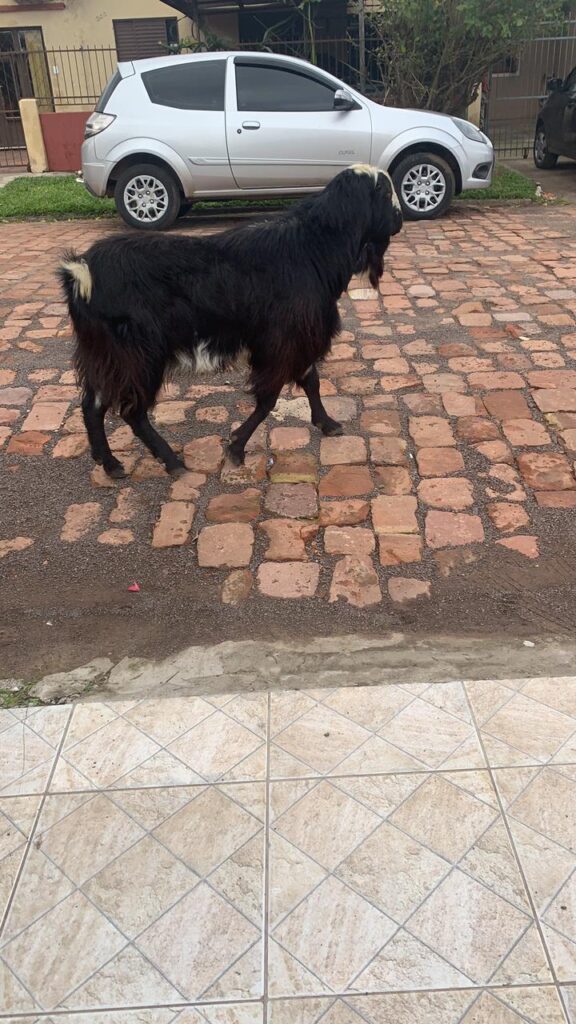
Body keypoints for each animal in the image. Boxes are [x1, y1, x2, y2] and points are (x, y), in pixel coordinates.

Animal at [57, 162, 399, 475]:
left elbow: (311, 381)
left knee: (92, 403)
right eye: (384, 192)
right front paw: (236, 447)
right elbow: (269, 398)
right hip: (138, 355)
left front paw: (327, 423)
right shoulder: (281, 342)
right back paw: (171, 461)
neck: (311, 249)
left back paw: (109, 462)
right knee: (132, 410)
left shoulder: (298, 338)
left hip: (106, 353)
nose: (399, 219)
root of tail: (82, 272)